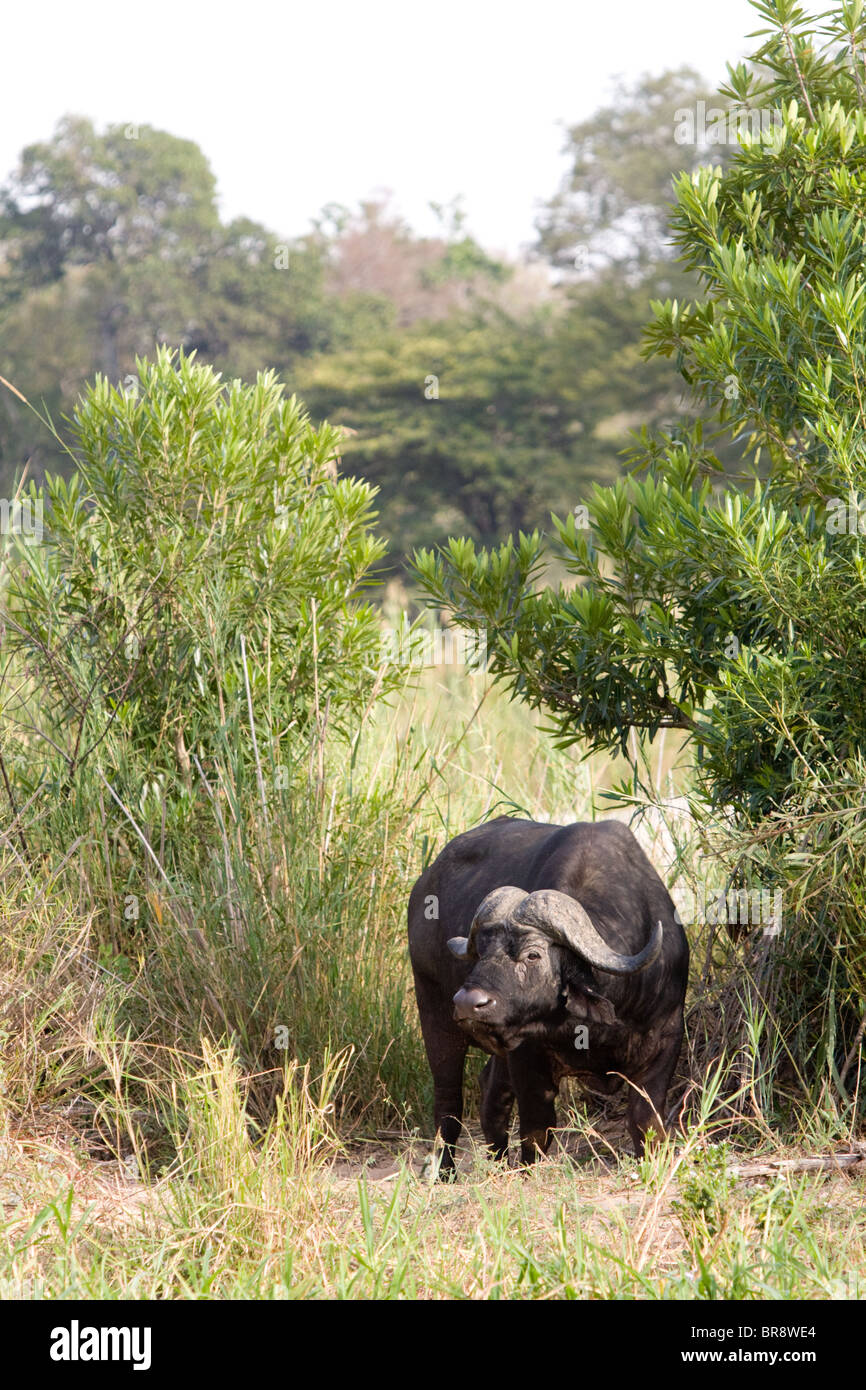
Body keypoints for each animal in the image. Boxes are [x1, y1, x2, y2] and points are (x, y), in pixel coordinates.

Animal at [408, 815, 688, 1176]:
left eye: (533, 955)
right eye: (481, 950)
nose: (469, 1002)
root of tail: (424, 884)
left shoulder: (665, 1039)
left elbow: (646, 1122)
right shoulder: (526, 1055)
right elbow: (536, 1129)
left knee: (490, 1092)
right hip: (435, 1016)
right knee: (448, 1102)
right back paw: (444, 1172)